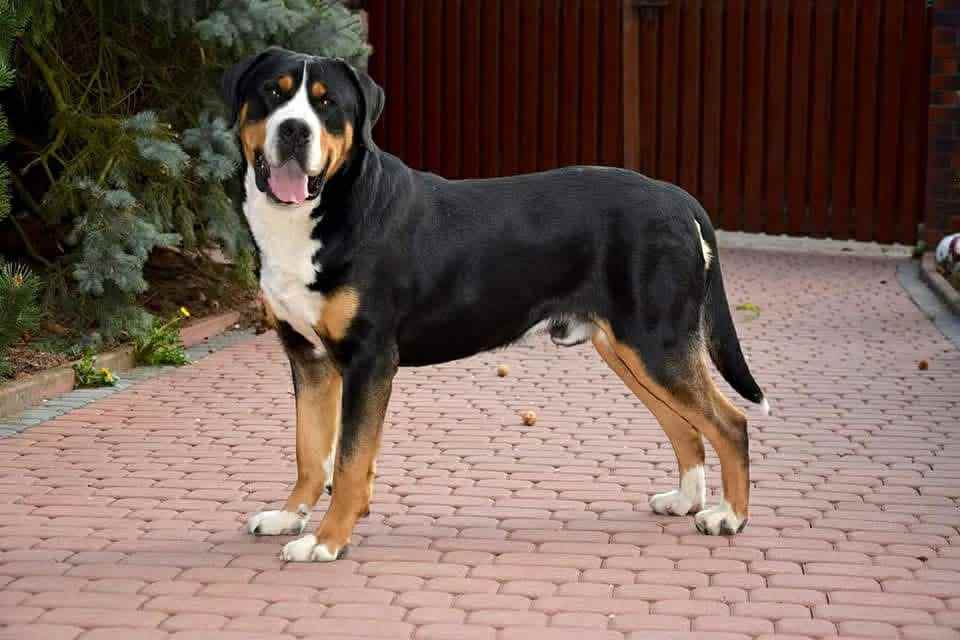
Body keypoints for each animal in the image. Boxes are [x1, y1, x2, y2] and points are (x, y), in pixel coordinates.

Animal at [221, 47, 769, 562]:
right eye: (273, 93)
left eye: (327, 103)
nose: (294, 130)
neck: (325, 210)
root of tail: (675, 196)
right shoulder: (309, 360)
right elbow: (311, 451)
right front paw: (289, 516)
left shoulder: (368, 360)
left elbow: (351, 460)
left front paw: (327, 541)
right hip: (630, 352)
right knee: (686, 426)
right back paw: (686, 500)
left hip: (657, 344)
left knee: (730, 424)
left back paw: (729, 517)